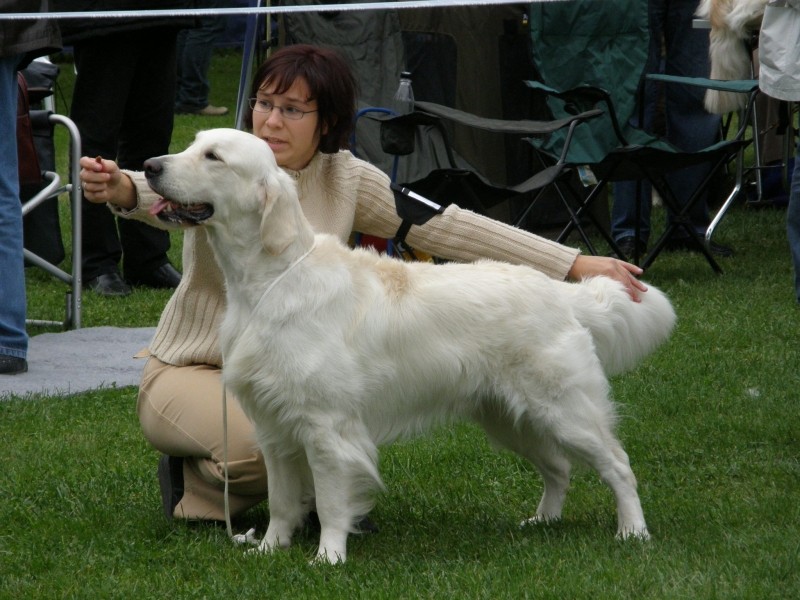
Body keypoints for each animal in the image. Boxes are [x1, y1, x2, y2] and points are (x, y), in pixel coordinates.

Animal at [142, 129, 676, 564]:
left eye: (213, 156)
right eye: (192, 145)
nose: (148, 166)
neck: (270, 280)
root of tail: (558, 291)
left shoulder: (327, 426)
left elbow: (331, 500)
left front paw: (328, 558)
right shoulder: (273, 428)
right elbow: (281, 500)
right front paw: (272, 549)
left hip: (564, 409)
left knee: (618, 466)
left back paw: (632, 532)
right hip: (508, 418)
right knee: (559, 468)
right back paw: (543, 521)